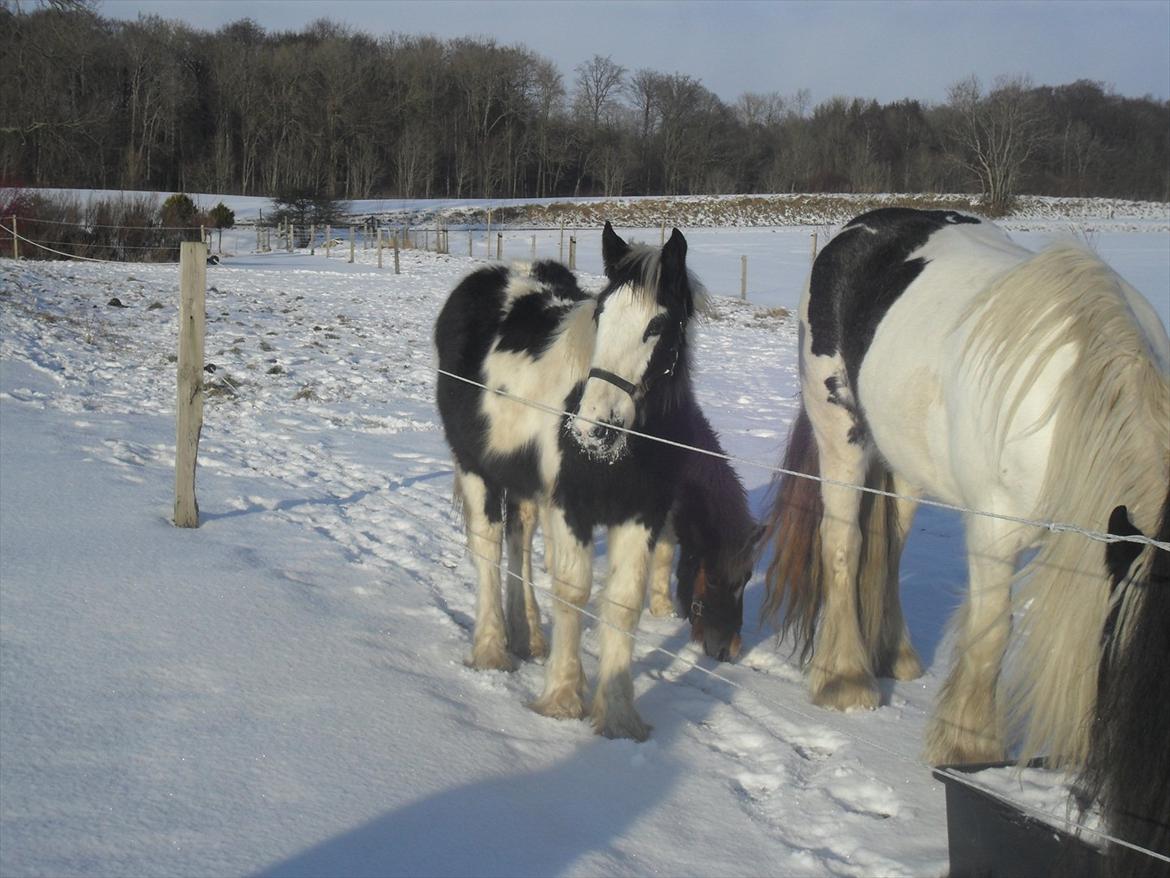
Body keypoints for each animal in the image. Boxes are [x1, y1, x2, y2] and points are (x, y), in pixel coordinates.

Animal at [439, 223, 711, 739]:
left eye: (657, 326)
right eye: (601, 314)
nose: (592, 428)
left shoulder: (640, 515)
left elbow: (622, 603)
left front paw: (619, 716)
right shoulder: (570, 508)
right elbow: (573, 593)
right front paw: (563, 699)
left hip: (525, 485)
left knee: (520, 542)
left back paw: (527, 636)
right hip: (476, 469)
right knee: (488, 549)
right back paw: (492, 650)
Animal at [758, 211, 1170, 777]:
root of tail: (858, 228)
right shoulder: (996, 526)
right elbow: (993, 631)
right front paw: (970, 746)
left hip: (906, 465)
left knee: (887, 549)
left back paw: (893, 655)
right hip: (841, 439)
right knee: (844, 546)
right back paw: (845, 679)